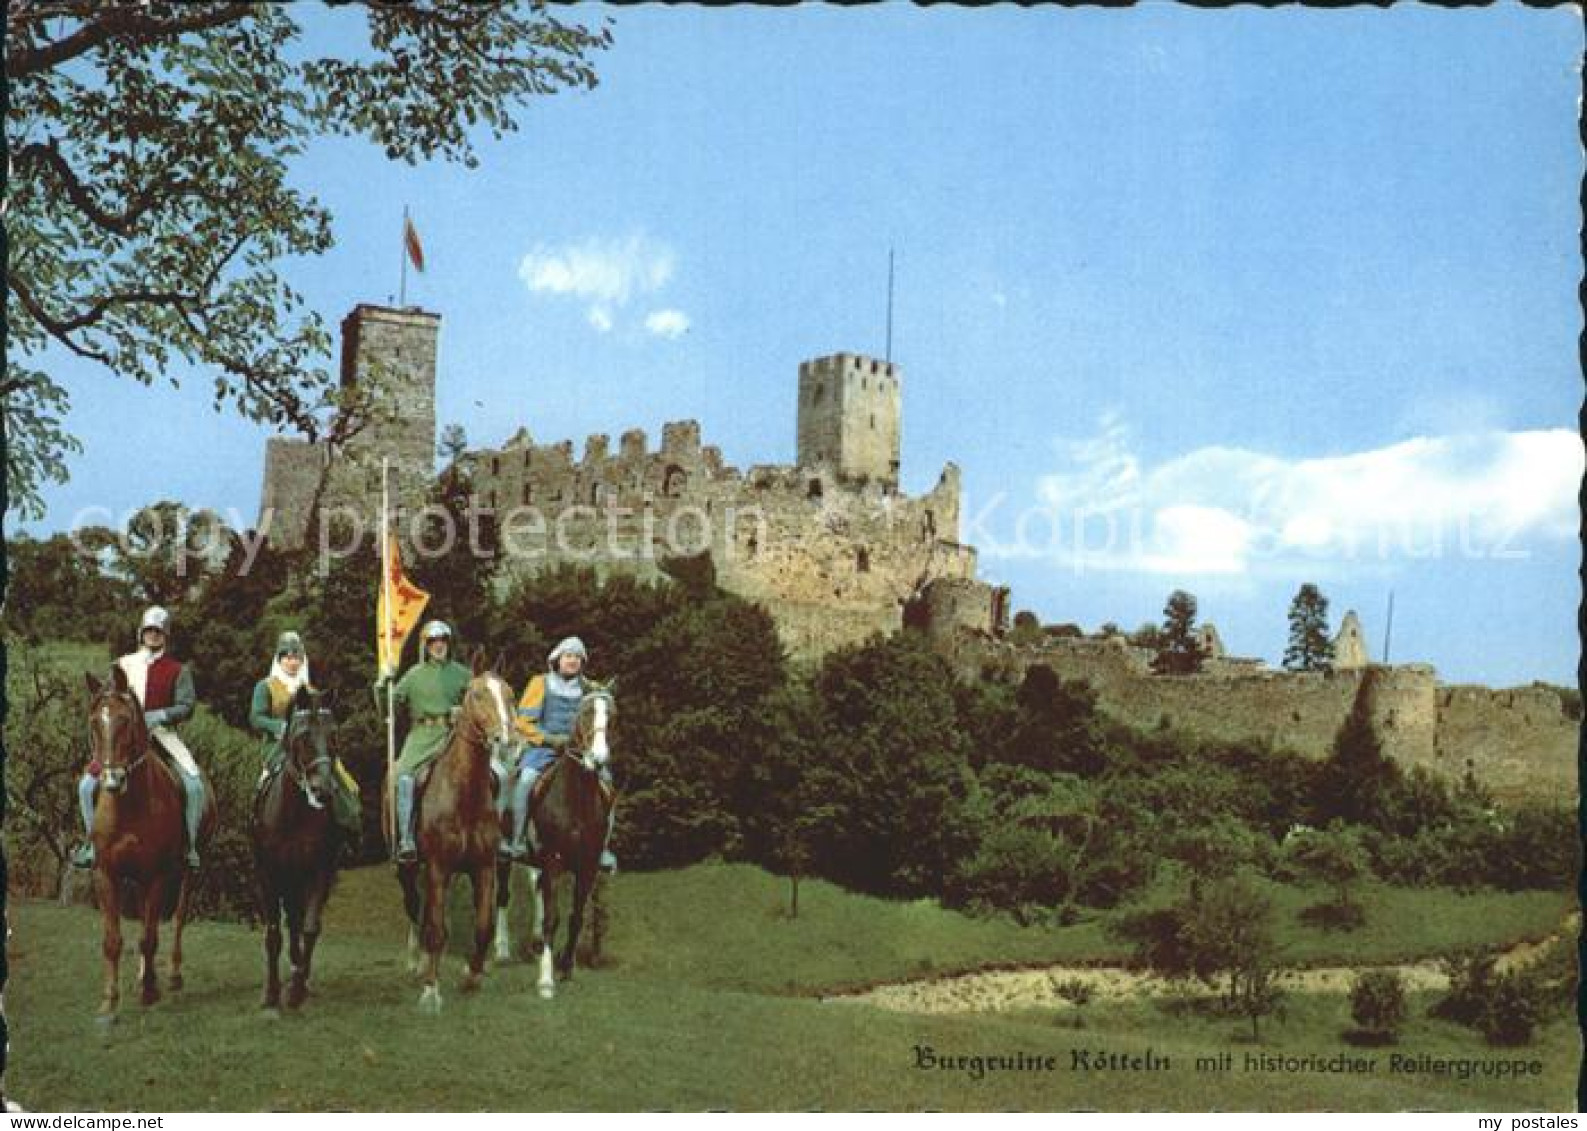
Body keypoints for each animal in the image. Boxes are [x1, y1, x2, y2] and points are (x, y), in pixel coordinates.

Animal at [84, 666, 217, 1021]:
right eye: (95, 722)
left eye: (126, 719)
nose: (111, 779)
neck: (129, 804)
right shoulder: (106, 874)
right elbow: (114, 940)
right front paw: (109, 1000)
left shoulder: (156, 875)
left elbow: (149, 936)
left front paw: (149, 993)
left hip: (186, 873)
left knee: (176, 919)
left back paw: (170, 976)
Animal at [252, 685, 342, 1008]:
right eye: (303, 736)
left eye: (333, 735)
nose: (323, 791)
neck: (293, 814)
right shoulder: (268, 876)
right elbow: (273, 934)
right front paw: (270, 993)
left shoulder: (318, 873)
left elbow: (309, 928)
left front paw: (297, 989)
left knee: (298, 923)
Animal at [393, 653, 517, 1015]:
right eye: (476, 694)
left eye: (510, 694)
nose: (506, 740)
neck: (463, 795)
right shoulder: (437, 868)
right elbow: (435, 928)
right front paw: (430, 991)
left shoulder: (484, 868)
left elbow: (483, 926)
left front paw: (471, 976)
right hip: (408, 869)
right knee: (415, 908)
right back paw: (417, 962)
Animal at [491, 678, 615, 996]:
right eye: (585, 713)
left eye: (611, 715)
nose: (598, 759)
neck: (576, 798)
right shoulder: (554, 863)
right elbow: (552, 918)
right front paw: (546, 980)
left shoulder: (587, 867)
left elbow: (576, 917)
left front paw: (566, 968)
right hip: (503, 856)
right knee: (502, 897)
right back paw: (501, 951)